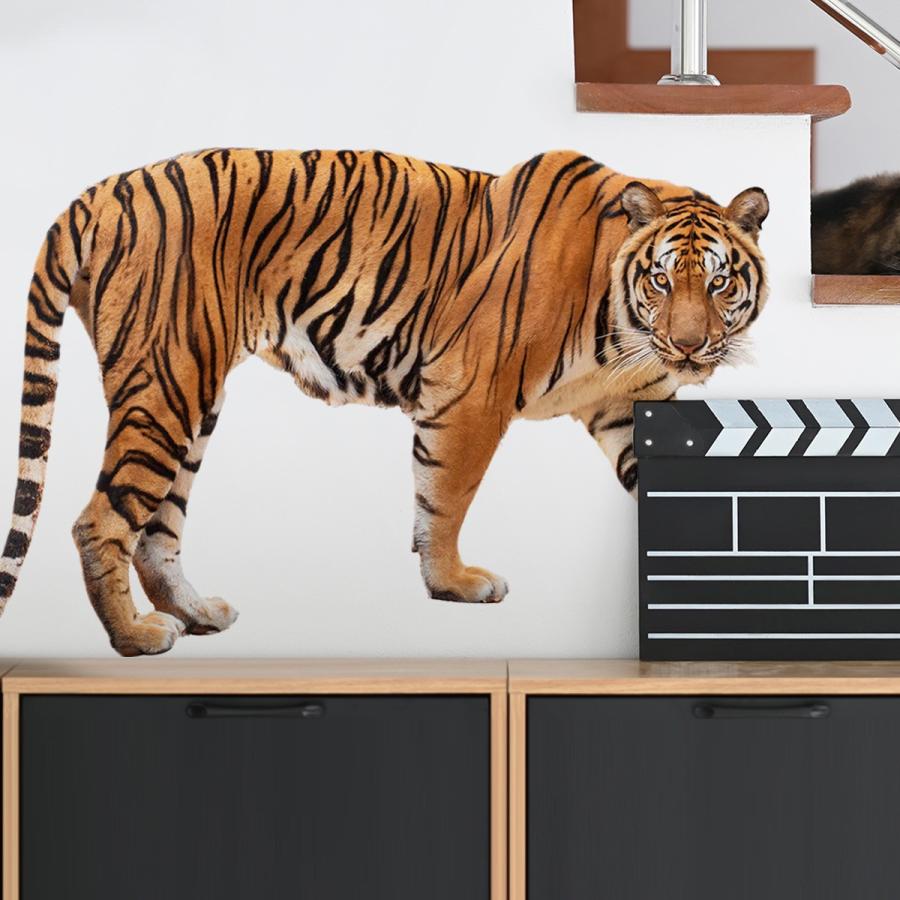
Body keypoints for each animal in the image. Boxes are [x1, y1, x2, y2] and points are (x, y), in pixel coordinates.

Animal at [0, 149, 769, 655]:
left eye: (720, 282)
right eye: (663, 280)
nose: (691, 346)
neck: (623, 329)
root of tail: (99, 190)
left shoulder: (628, 407)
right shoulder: (469, 394)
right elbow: (444, 498)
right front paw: (455, 583)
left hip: (191, 401)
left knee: (158, 528)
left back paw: (196, 615)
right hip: (164, 382)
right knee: (99, 521)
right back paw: (135, 637)